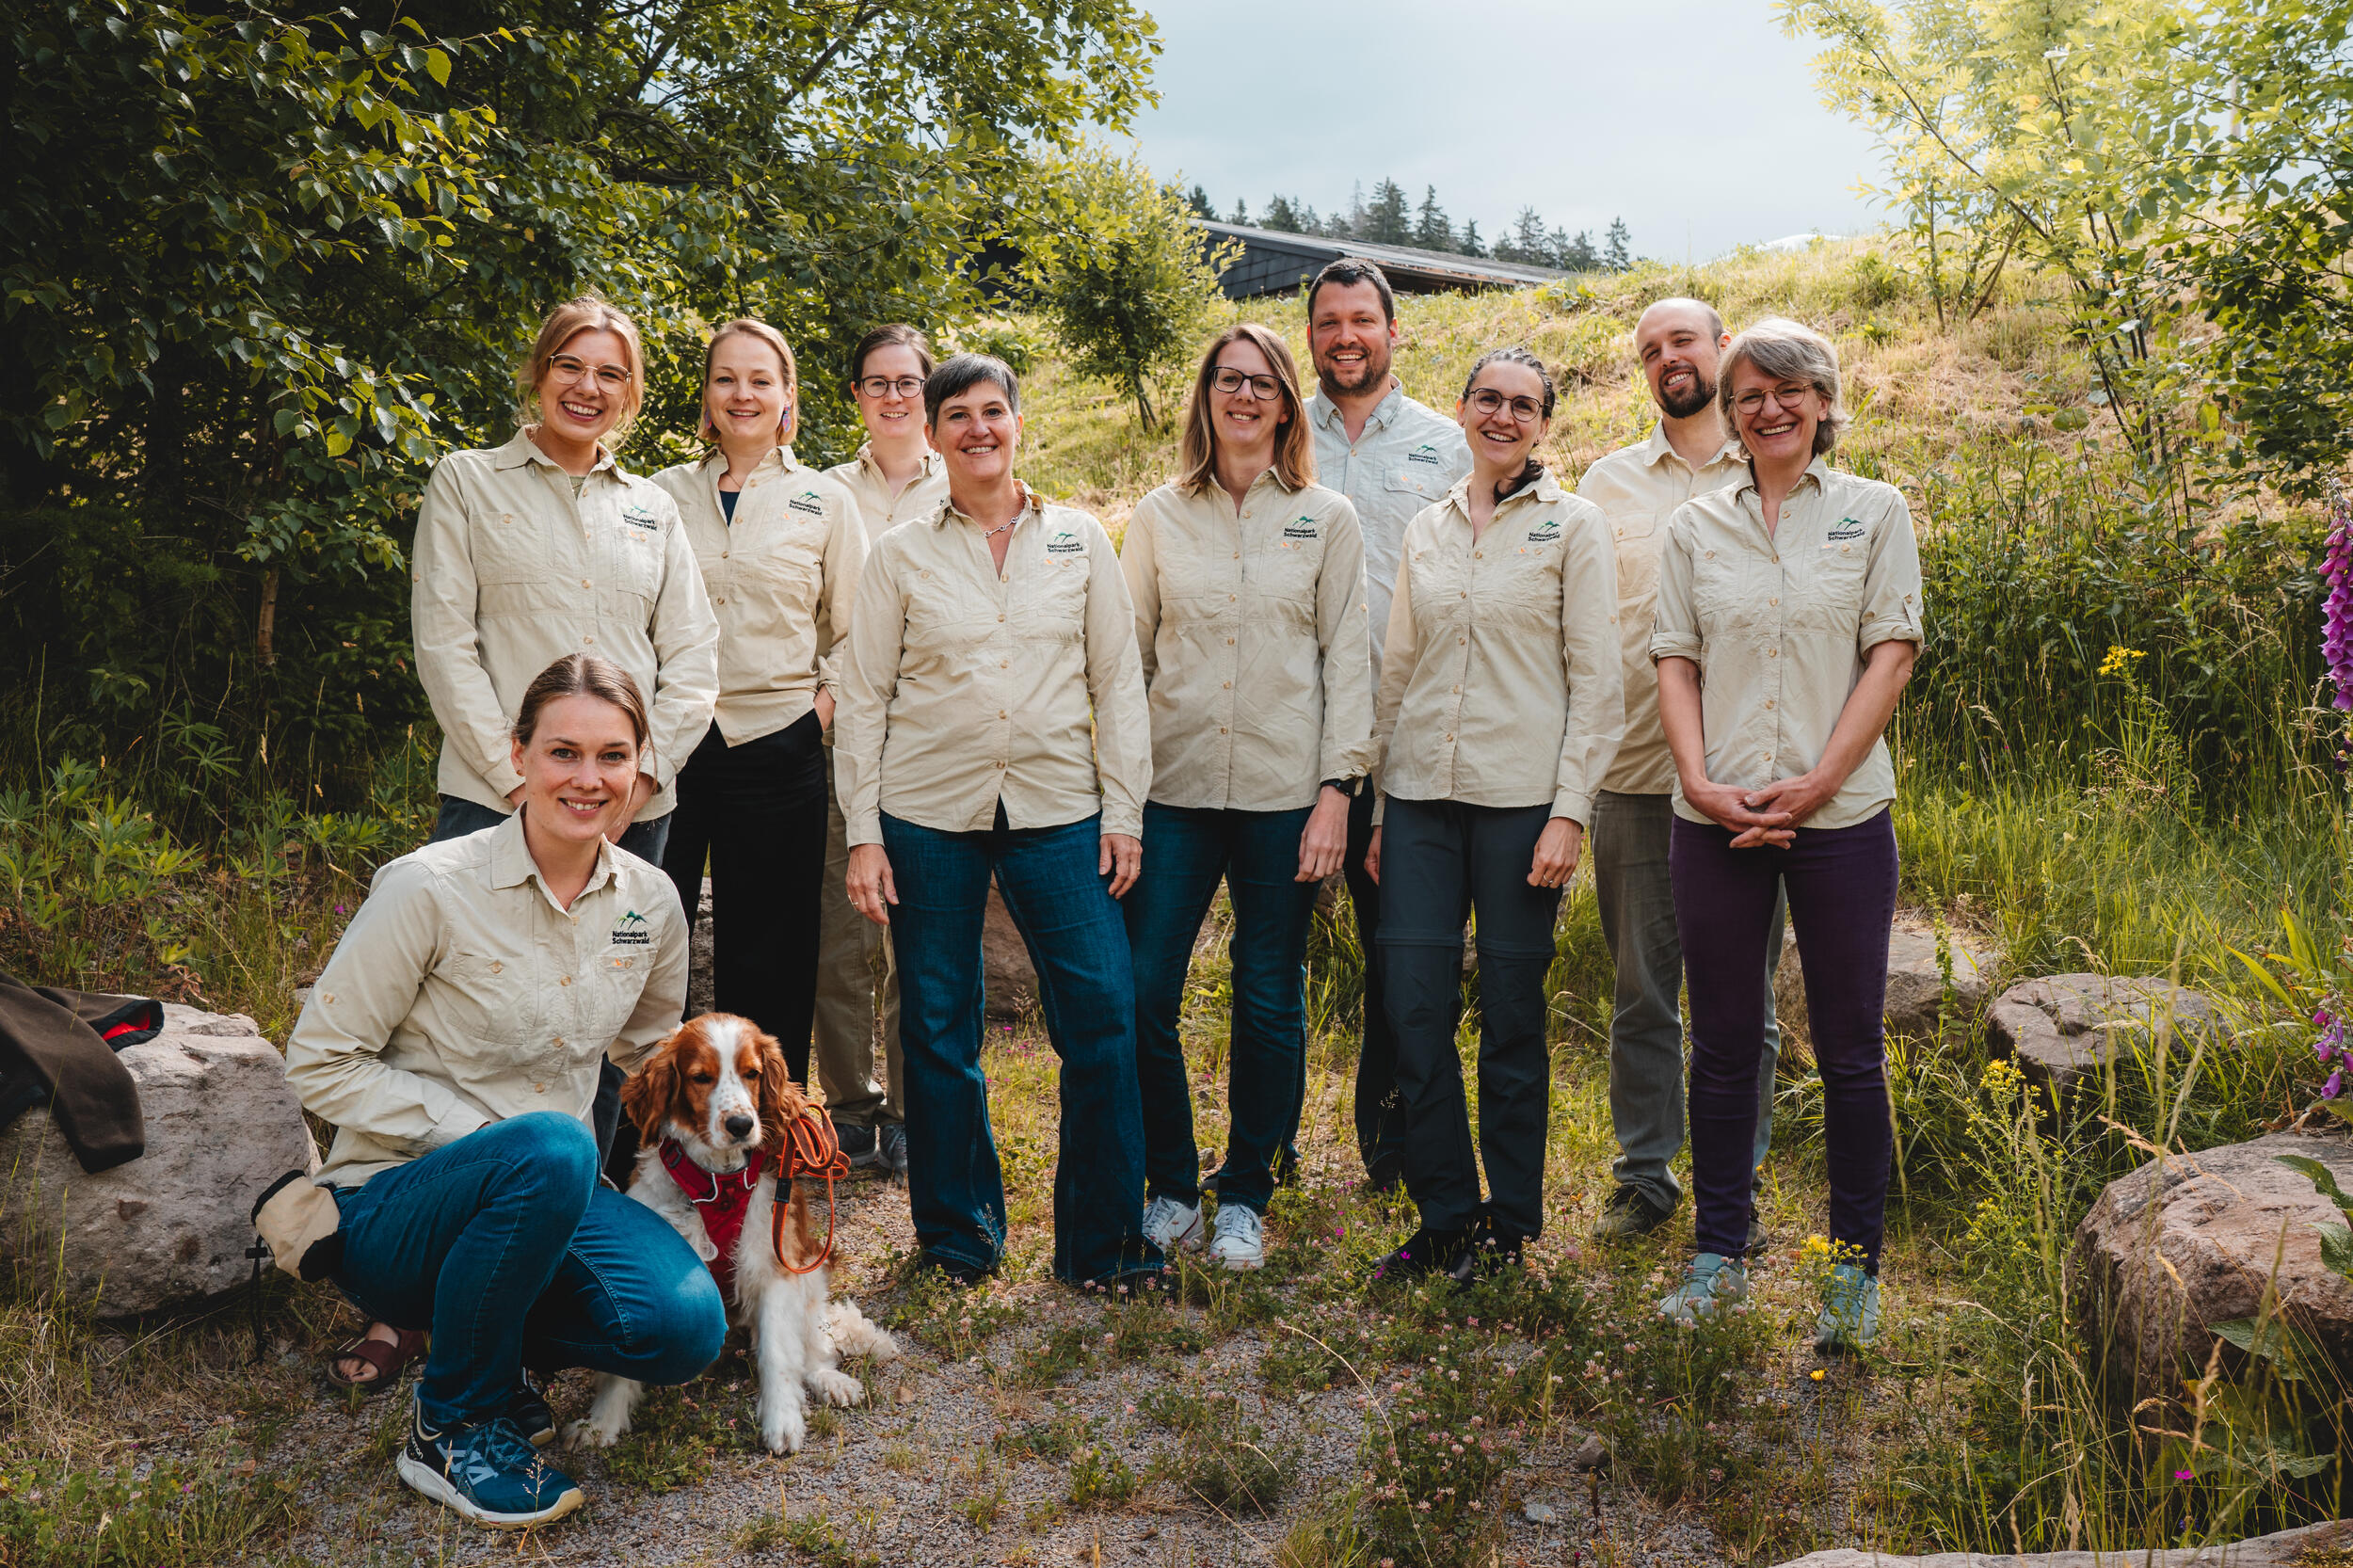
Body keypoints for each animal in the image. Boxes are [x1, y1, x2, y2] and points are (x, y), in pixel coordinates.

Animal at [565, 1012, 894, 1449]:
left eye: (752, 1073)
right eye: (701, 1077)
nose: (741, 1124)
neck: (718, 1182)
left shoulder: (775, 1267)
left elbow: (778, 1354)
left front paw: (782, 1421)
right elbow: (624, 1365)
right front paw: (601, 1422)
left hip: (810, 1275)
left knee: (812, 1347)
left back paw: (831, 1380)